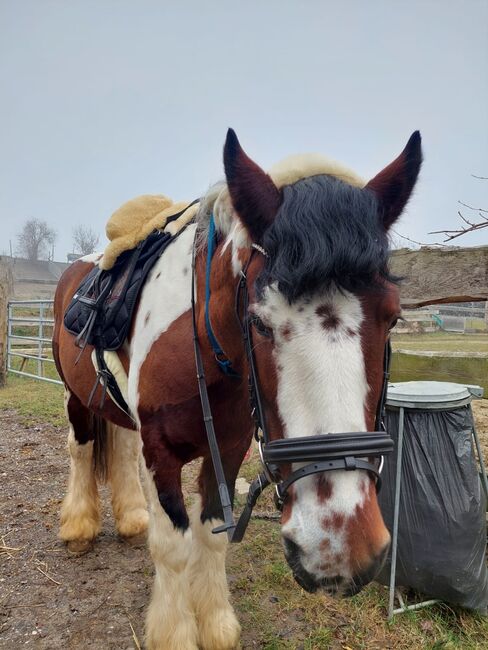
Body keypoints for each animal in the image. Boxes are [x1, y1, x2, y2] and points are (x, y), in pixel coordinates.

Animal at [52, 128, 420, 648]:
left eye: (392, 316)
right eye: (259, 322)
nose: (338, 549)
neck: (205, 351)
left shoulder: (226, 447)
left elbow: (211, 535)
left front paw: (216, 623)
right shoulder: (161, 452)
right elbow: (173, 544)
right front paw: (176, 633)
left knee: (118, 447)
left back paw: (129, 518)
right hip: (77, 398)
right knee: (82, 449)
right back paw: (79, 527)